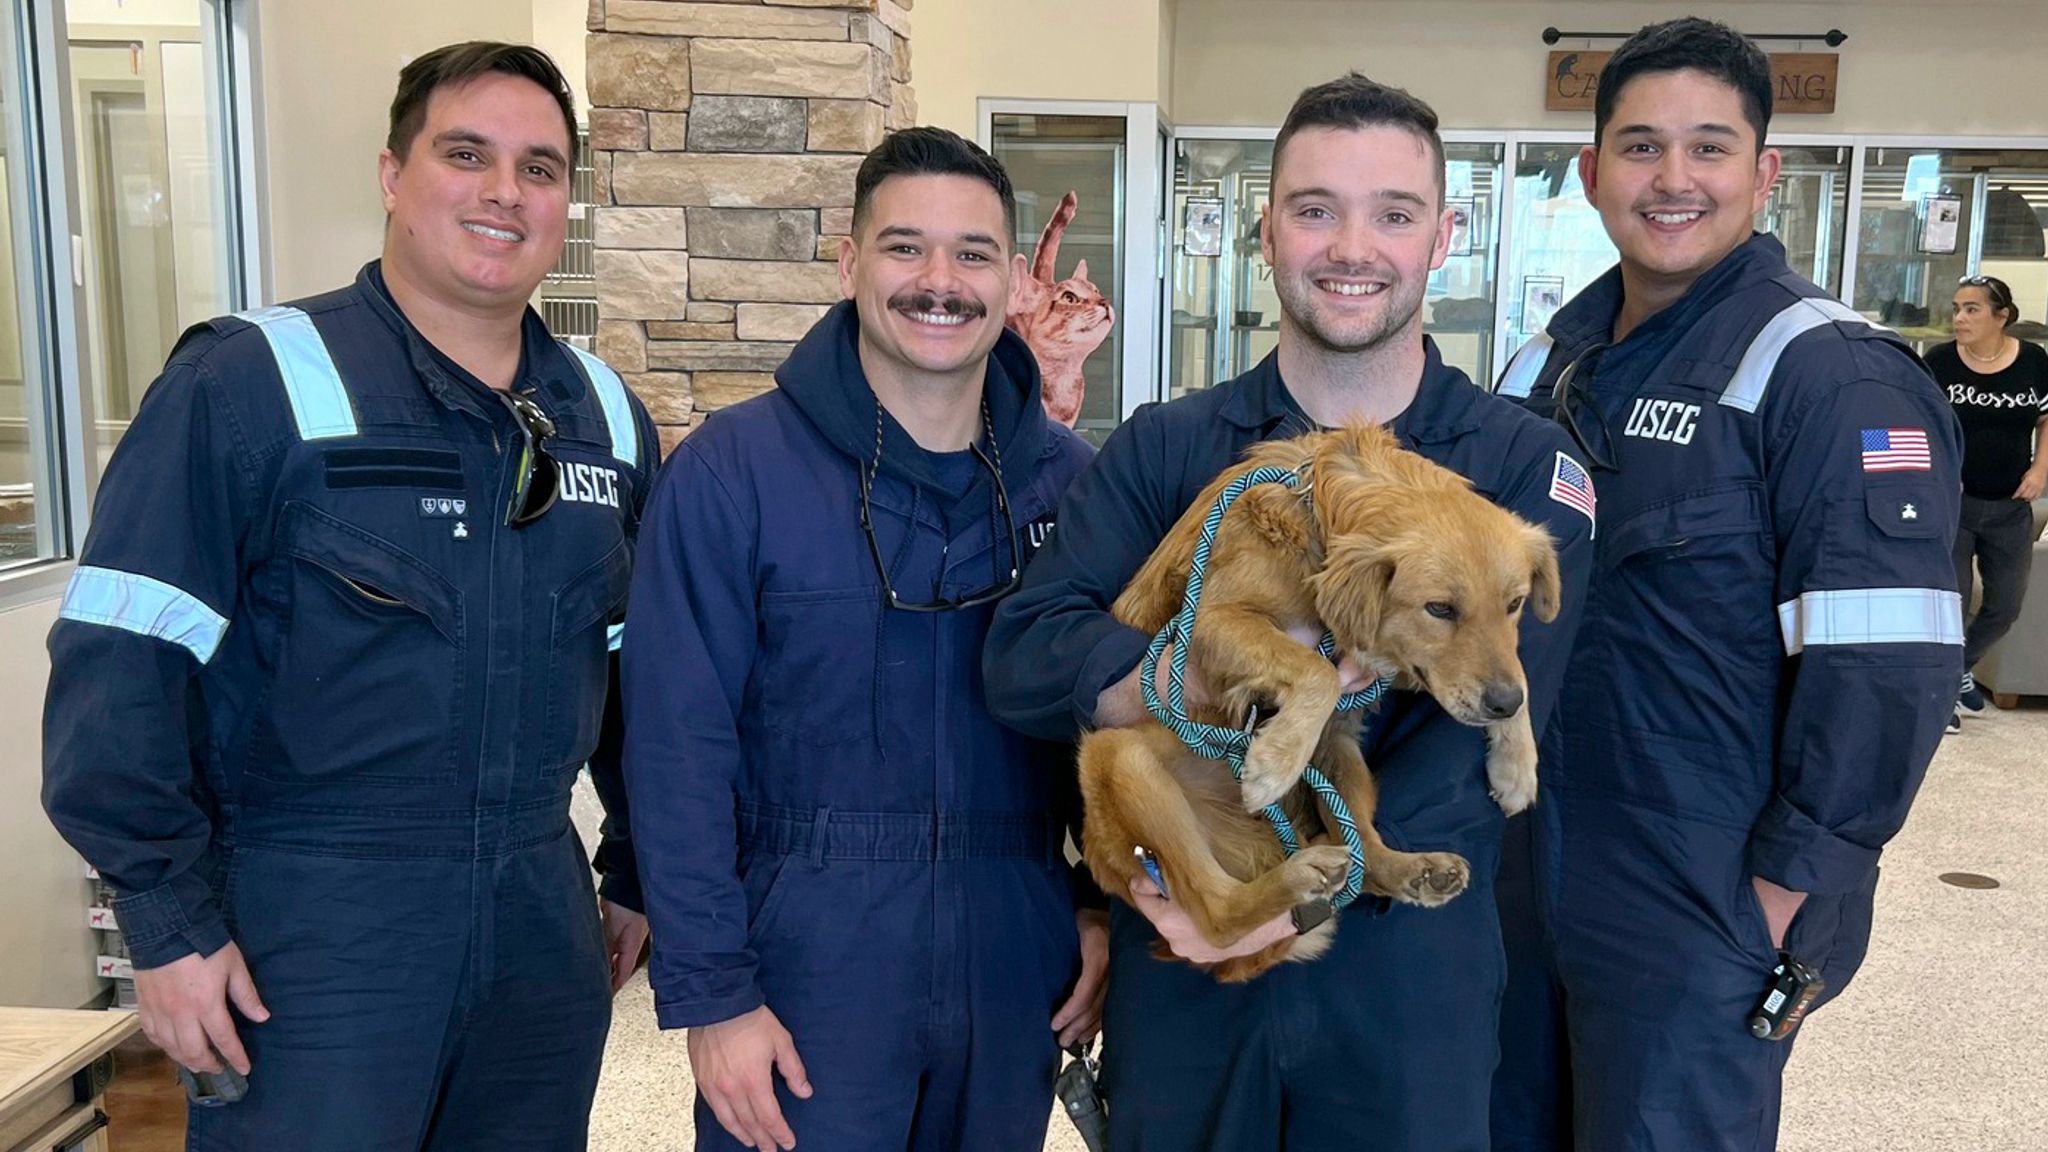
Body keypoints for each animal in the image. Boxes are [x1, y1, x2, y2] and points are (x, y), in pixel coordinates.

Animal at [1081, 422, 1556, 975]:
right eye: (1440, 609)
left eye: (1515, 603)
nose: (1501, 705)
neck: (1318, 519)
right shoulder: (1206, 622)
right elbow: (1318, 671)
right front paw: (1273, 763)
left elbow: (1518, 669)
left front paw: (1517, 766)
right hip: (1119, 755)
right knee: (1217, 914)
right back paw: (1298, 875)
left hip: (1339, 755)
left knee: (1365, 855)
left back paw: (1412, 869)